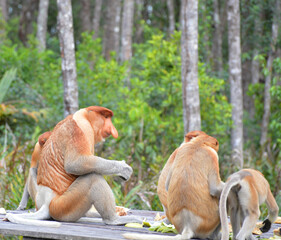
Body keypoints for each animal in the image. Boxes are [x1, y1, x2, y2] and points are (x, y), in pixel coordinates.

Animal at [7, 106, 140, 227]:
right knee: (93, 178)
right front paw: (124, 168)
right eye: (106, 117)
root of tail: (45, 202)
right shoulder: (82, 128)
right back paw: (113, 220)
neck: (83, 115)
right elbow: (76, 163)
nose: (113, 129)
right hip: (62, 206)